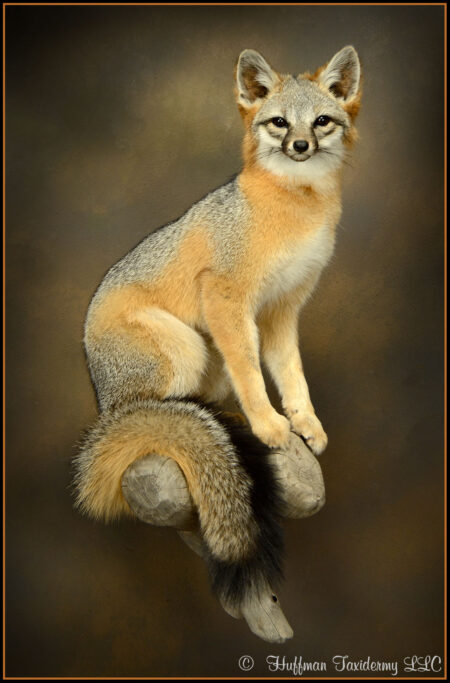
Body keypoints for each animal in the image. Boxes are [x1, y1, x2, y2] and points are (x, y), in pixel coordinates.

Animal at [73, 46, 361, 636]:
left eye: (321, 120)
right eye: (279, 123)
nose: (300, 147)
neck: (296, 208)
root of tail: (106, 403)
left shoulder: (283, 309)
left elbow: (292, 375)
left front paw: (304, 423)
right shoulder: (227, 299)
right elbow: (252, 372)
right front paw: (271, 425)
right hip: (187, 347)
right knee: (162, 422)